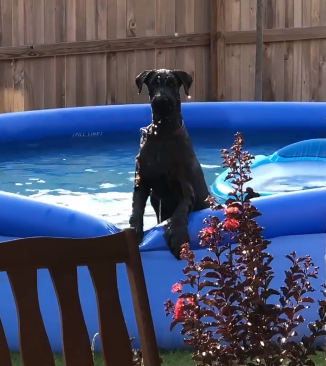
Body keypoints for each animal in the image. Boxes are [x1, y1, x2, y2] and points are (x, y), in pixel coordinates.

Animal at [129, 68, 209, 258]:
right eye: (153, 83)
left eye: (172, 83)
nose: (161, 100)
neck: (162, 133)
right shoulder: (141, 182)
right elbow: (137, 209)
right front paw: (134, 231)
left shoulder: (186, 189)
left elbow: (179, 212)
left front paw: (177, 235)